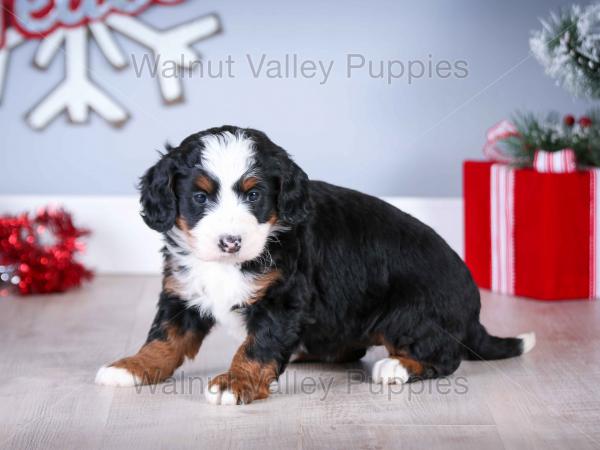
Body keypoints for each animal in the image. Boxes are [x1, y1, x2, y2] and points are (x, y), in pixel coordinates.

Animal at [96, 125, 536, 404]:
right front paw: (133, 366)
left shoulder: (283, 298)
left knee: (445, 357)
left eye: (254, 195)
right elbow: (164, 338)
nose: (230, 242)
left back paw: (396, 367)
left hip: (408, 313)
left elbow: (258, 345)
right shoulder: (182, 292)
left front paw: (236, 382)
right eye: (200, 198)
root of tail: (472, 311)